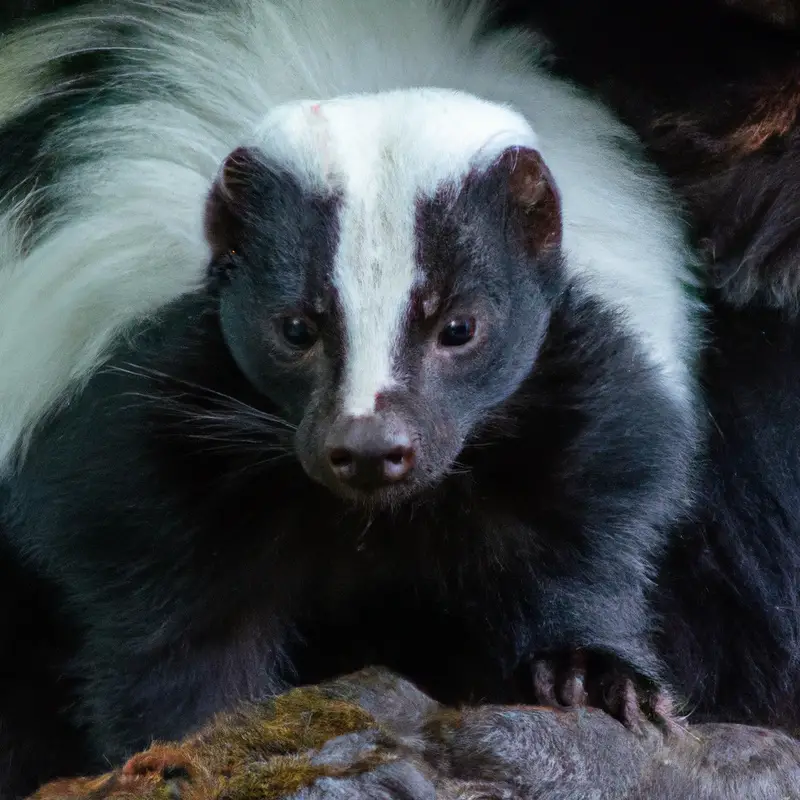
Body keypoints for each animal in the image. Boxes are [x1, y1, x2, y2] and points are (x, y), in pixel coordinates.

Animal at [0, 0, 708, 792]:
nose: (370, 447)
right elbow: (176, 630)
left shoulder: (579, 389)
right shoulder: (137, 425)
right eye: (295, 328)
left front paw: (595, 677)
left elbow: (579, 540)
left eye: (460, 327)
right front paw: (198, 745)